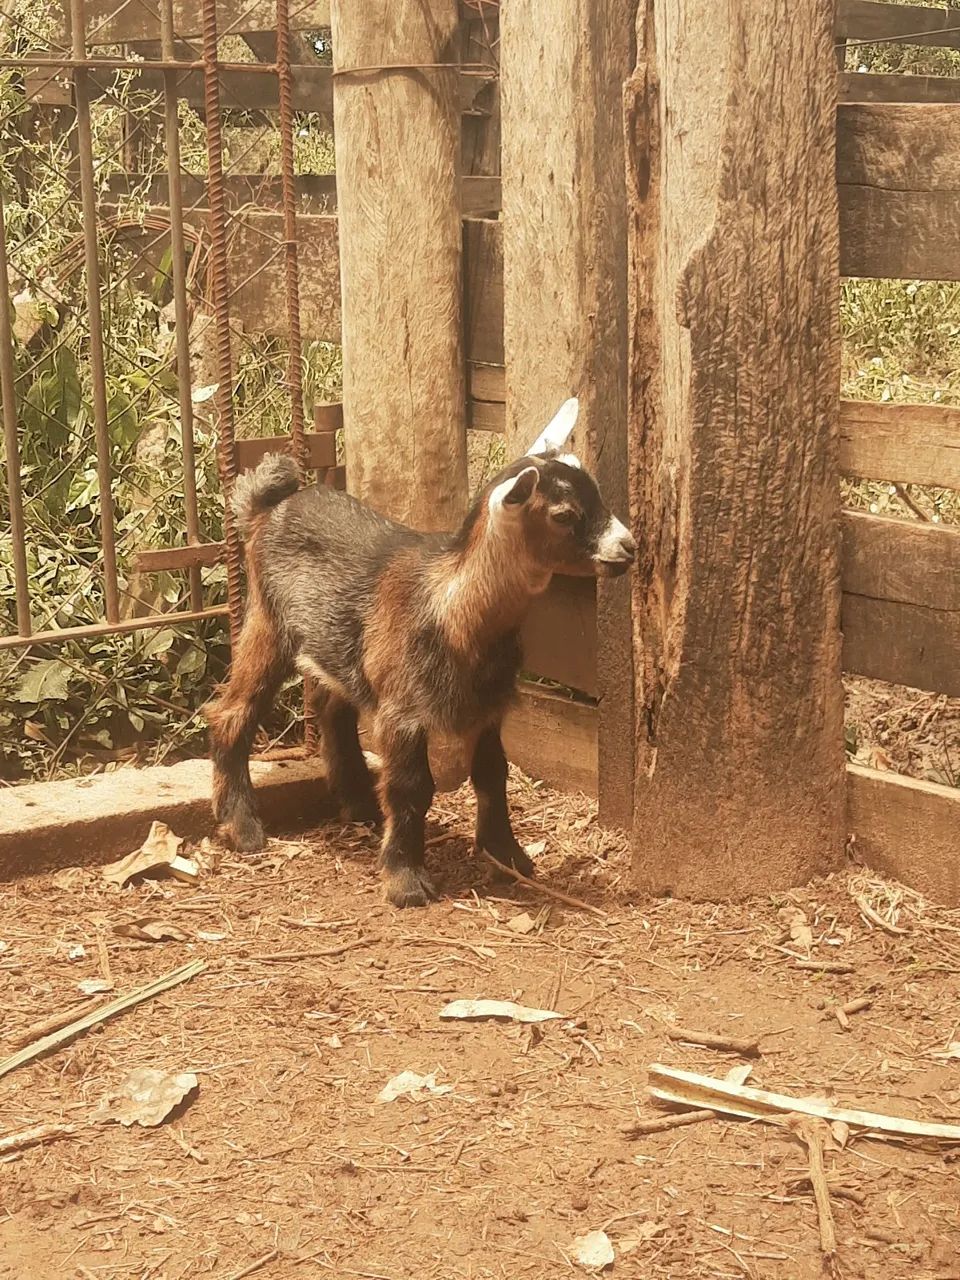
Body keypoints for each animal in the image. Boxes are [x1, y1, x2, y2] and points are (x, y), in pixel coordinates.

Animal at [206, 399, 635, 907]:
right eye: (564, 514)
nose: (628, 547)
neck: (453, 608)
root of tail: (267, 508)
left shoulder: (487, 707)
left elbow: (493, 774)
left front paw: (507, 856)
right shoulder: (403, 710)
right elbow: (411, 787)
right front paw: (405, 879)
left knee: (332, 707)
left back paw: (360, 804)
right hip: (268, 622)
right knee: (232, 711)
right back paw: (242, 827)